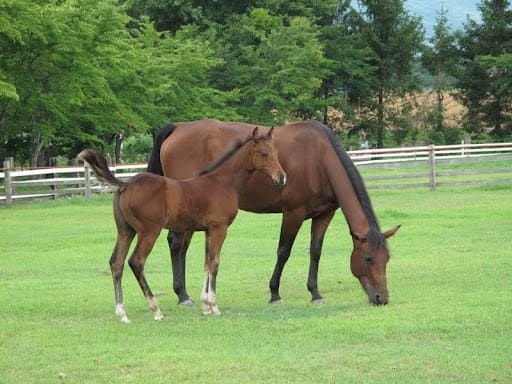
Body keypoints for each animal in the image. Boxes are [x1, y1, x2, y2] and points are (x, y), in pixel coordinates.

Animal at [82, 127, 286, 322]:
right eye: (264, 153)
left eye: (276, 152)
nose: (282, 178)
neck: (222, 182)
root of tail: (125, 185)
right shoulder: (219, 228)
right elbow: (215, 262)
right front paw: (214, 306)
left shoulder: (208, 230)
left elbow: (206, 263)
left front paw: (205, 306)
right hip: (149, 232)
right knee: (136, 262)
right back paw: (156, 310)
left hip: (126, 231)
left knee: (116, 263)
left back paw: (122, 314)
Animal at [148, 119, 400, 306]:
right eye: (368, 258)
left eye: (387, 258)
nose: (382, 298)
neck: (320, 157)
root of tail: (178, 127)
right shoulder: (293, 213)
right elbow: (283, 252)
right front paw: (275, 293)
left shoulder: (324, 214)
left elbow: (315, 251)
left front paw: (315, 293)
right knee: (176, 243)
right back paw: (183, 295)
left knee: (181, 247)